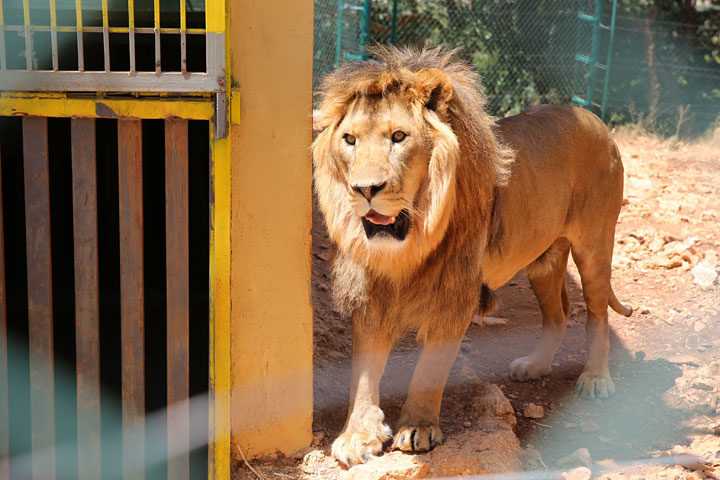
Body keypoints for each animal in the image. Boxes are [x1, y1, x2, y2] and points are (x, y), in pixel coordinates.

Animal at [312, 46, 632, 467]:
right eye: (349, 139)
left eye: (398, 137)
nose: (365, 189)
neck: (407, 246)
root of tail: (591, 116)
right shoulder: (370, 293)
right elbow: (363, 373)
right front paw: (357, 435)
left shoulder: (455, 294)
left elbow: (430, 369)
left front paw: (418, 428)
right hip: (543, 260)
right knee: (559, 312)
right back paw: (534, 366)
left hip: (594, 245)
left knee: (596, 312)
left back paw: (596, 379)